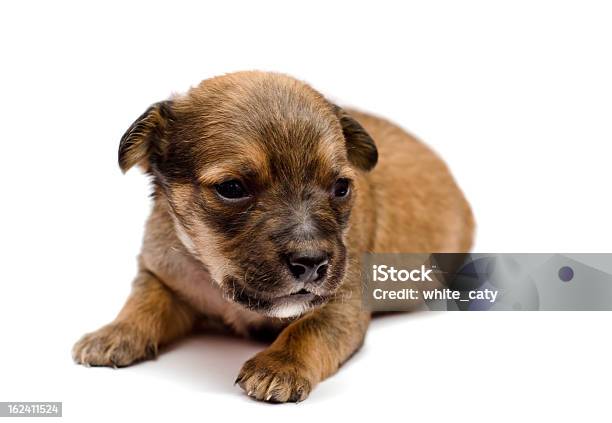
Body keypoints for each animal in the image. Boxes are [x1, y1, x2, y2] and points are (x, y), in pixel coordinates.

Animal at [70, 72, 474, 404]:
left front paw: (278, 367)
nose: (311, 263)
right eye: (232, 188)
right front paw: (113, 333)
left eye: (341, 187)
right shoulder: (162, 273)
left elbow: (308, 329)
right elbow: (143, 301)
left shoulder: (343, 300)